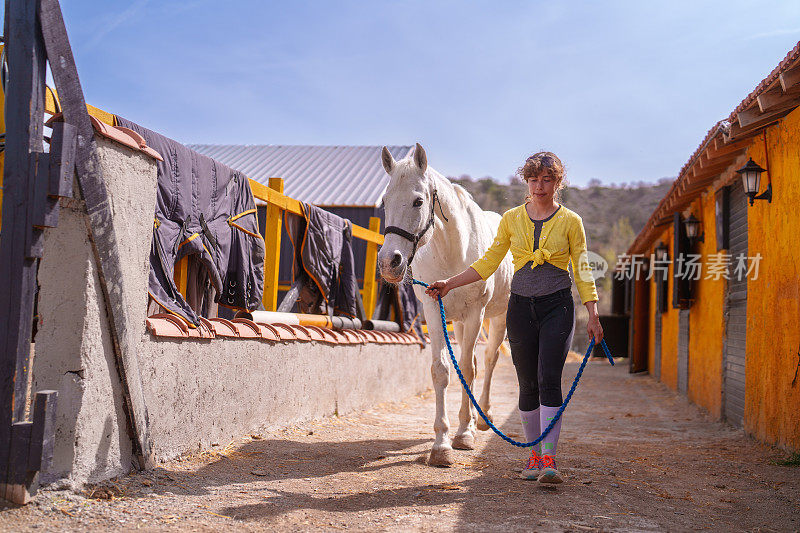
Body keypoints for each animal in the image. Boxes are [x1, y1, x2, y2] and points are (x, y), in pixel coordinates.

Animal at [376, 142, 512, 466]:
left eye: (418, 201)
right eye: (385, 201)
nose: (389, 262)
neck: (453, 251)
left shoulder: (476, 314)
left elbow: (470, 369)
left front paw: (463, 435)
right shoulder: (433, 311)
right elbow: (442, 370)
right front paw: (441, 444)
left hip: (497, 318)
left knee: (488, 361)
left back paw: (482, 417)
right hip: (460, 322)